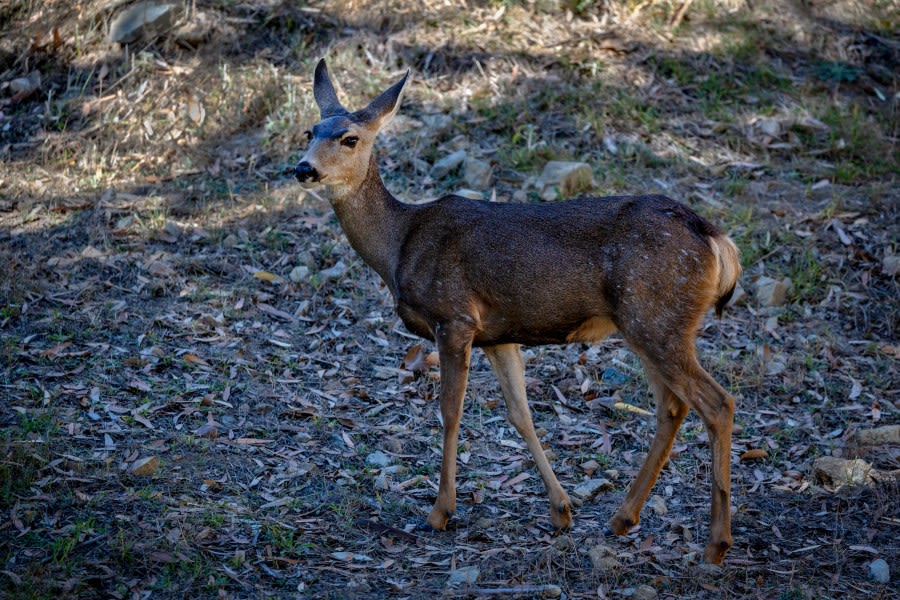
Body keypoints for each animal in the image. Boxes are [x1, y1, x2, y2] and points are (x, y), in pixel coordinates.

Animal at [292, 58, 740, 564]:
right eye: (310, 130)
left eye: (350, 138)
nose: (303, 168)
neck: (399, 245)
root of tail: (716, 239)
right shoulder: (498, 334)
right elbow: (519, 413)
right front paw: (561, 509)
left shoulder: (454, 316)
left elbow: (450, 412)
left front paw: (440, 512)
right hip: (650, 324)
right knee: (673, 406)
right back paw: (623, 518)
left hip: (655, 317)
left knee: (717, 403)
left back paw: (716, 543)